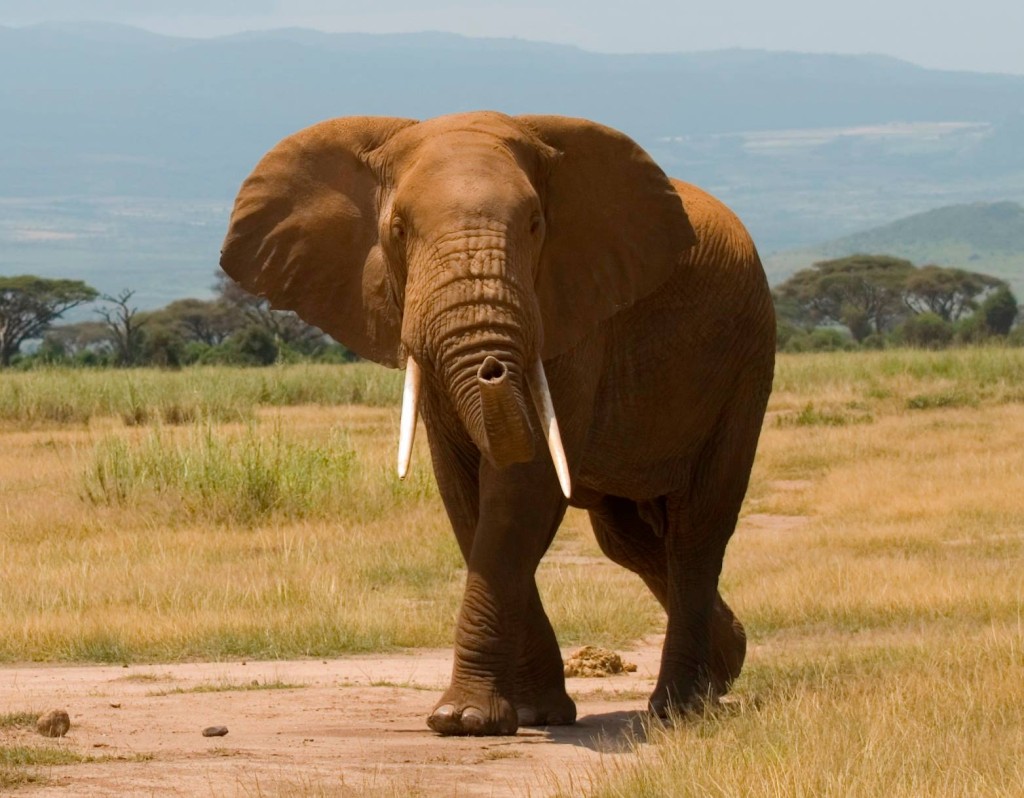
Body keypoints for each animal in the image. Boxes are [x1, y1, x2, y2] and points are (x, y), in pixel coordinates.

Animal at [221, 111, 775, 736]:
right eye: (398, 229)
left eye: (535, 225)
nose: (492, 369)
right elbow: (467, 497)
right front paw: (529, 713)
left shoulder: (574, 315)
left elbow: (520, 491)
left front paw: (463, 719)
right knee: (629, 541)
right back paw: (725, 665)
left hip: (747, 361)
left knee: (696, 530)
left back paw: (677, 708)